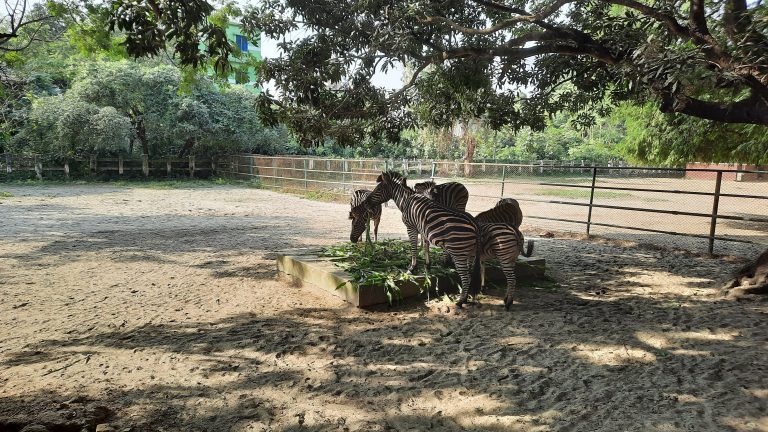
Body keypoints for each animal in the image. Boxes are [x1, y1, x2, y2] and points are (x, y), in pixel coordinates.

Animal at [352, 170, 484, 308]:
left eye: (378, 189)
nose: (365, 203)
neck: (406, 200)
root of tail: (475, 224)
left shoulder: (411, 227)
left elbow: (413, 247)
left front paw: (412, 268)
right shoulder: (423, 229)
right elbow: (425, 245)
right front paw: (427, 265)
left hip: (458, 251)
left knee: (466, 277)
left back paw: (460, 301)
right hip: (469, 252)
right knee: (470, 274)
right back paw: (466, 298)